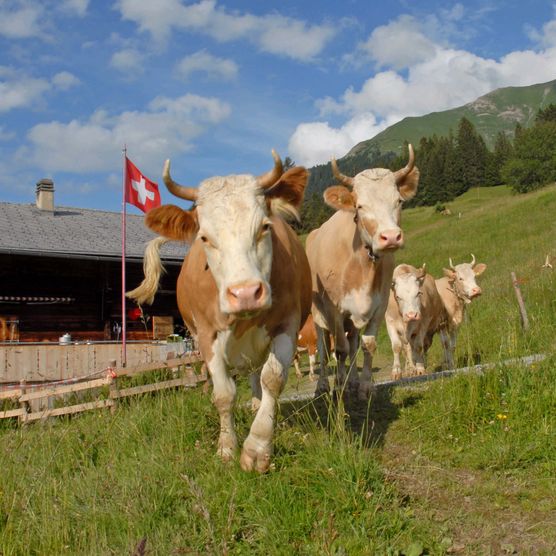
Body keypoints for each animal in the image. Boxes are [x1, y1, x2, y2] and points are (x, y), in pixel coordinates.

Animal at [128, 152, 314, 474]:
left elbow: (272, 379)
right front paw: (226, 448)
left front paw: (257, 448)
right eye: (204, 237)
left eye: (264, 227)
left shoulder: (287, 324)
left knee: (257, 376)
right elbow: (224, 394)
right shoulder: (206, 335)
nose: (245, 293)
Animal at [306, 146, 420, 394]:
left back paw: (352, 381)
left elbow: (367, 345)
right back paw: (325, 385)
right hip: (318, 314)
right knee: (324, 348)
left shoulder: (379, 305)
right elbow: (339, 350)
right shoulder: (335, 309)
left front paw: (365, 385)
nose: (391, 237)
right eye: (360, 206)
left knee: (353, 343)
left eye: (399, 200)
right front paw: (339, 385)